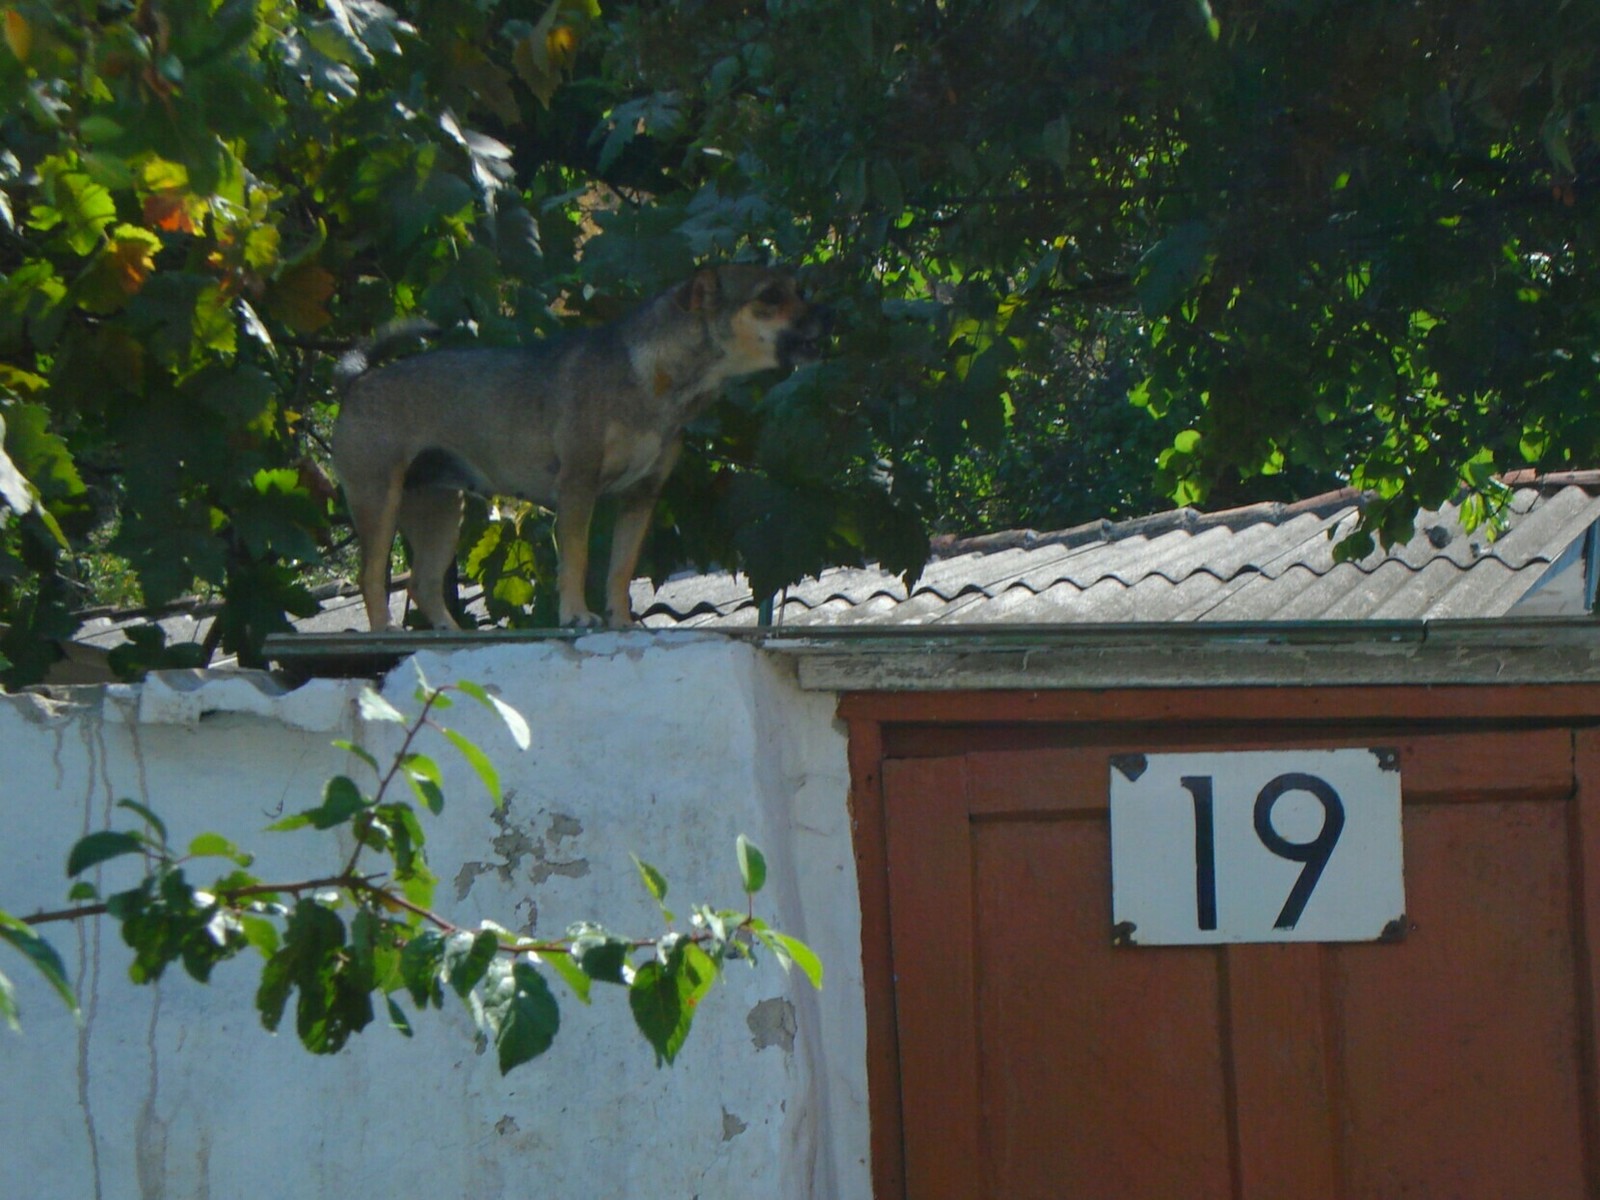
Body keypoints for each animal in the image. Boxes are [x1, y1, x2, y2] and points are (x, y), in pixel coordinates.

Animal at [324, 267, 825, 633]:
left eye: (800, 289)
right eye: (770, 296)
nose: (831, 315)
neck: (650, 375)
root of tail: (358, 380)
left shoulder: (641, 496)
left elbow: (620, 569)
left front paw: (621, 621)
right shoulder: (578, 485)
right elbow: (579, 558)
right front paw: (577, 614)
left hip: (440, 512)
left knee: (423, 585)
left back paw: (450, 634)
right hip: (378, 500)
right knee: (373, 578)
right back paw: (384, 632)